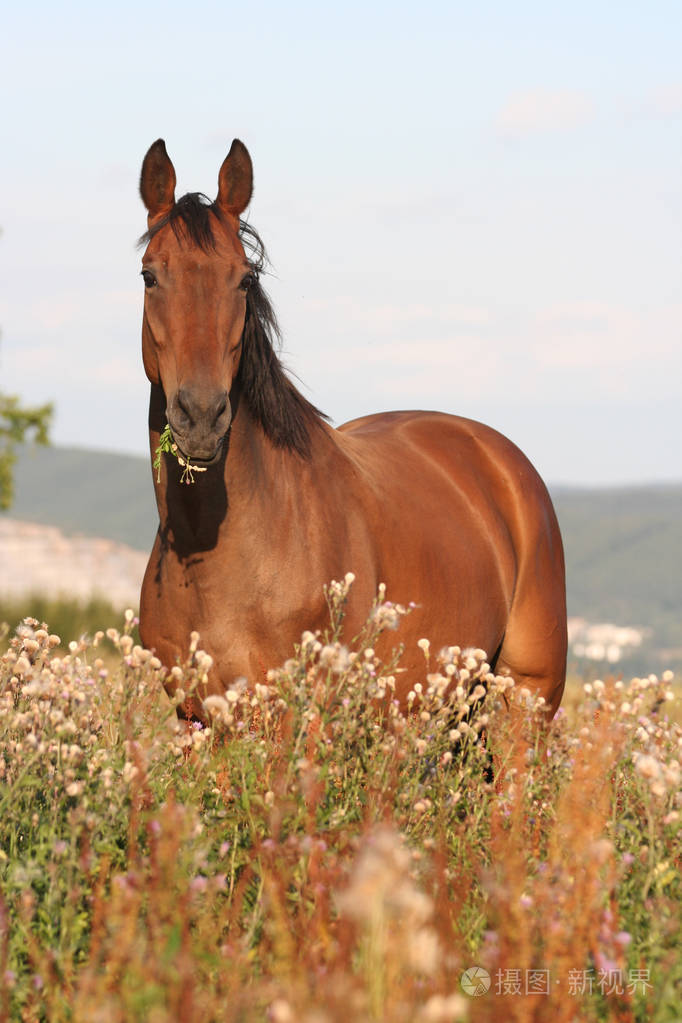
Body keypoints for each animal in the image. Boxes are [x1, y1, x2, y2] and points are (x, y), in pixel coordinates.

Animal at [135, 140, 568, 724]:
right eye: (149, 276)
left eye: (244, 279)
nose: (201, 416)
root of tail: (504, 461)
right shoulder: (195, 720)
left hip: (524, 700)